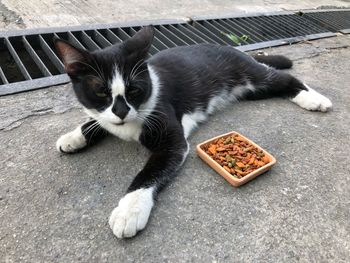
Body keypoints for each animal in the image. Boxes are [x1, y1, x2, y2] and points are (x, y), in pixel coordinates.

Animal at [53, 26, 332, 239]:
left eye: (134, 89)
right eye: (101, 91)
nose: (121, 112)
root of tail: (232, 48)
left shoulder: (170, 137)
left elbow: (151, 171)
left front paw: (129, 210)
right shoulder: (106, 116)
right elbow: (96, 121)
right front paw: (74, 136)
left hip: (252, 77)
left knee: (284, 79)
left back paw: (314, 98)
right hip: (251, 90)